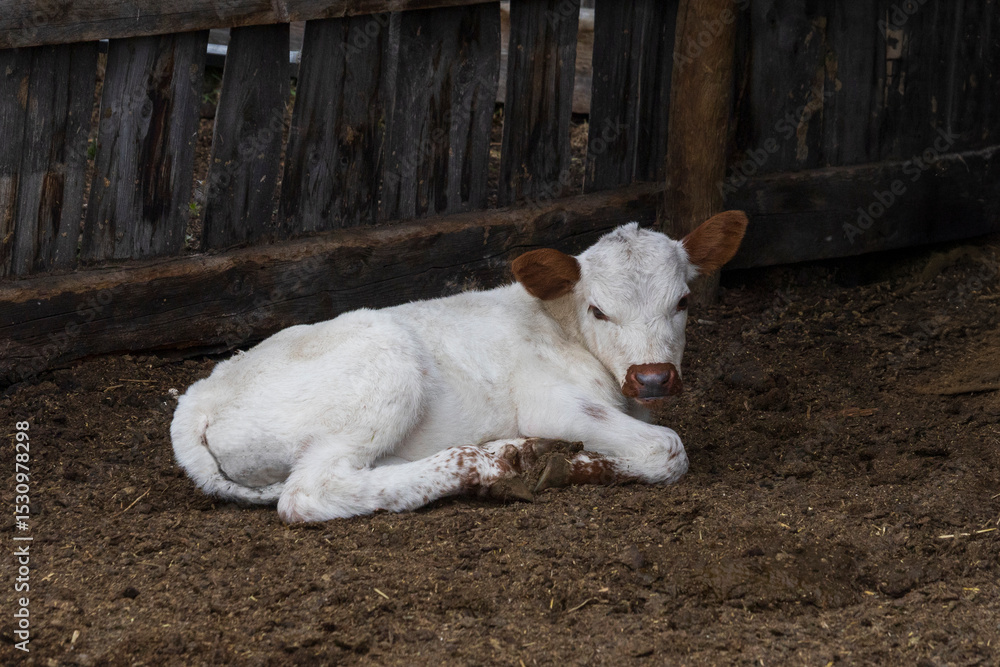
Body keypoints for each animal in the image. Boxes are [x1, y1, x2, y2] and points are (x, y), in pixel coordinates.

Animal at [170, 211, 748, 522]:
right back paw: (490, 466)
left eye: (683, 301)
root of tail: (197, 398)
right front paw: (570, 465)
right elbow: (666, 449)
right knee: (310, 492)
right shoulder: (554, 402)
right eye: (598, 310)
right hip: (383, 370)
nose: (652, 377)